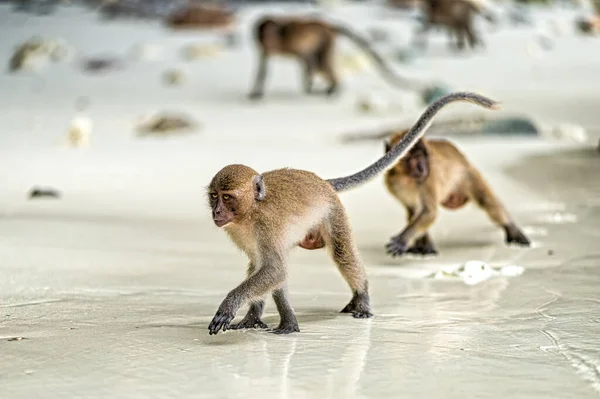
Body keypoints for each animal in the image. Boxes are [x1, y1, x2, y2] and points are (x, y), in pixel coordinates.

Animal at [206, 90, 496, 334]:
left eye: (227, 197)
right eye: (214, 196)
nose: (217, 212)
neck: (250, 212)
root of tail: (323, 183)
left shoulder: (265, 226)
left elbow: (275, 269)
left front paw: (230, 306)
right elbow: (266, 268)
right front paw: (252, 317)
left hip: (333, 212)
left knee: (341, 253)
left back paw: (361, 297)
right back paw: (287, 321)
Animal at [248, 15, 422, 101]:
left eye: (270, 34)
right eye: (261, 35)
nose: (266, 40)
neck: (280, 38)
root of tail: (329, 25)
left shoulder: (292, 41)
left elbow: (307, 59)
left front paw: (310, 87)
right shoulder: (263, 48)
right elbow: (263, 68)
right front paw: (256, 93)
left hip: (327, 39)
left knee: (321, 63)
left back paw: (335, 87)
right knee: (320, 63)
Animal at [382, 130, 532, 258]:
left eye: (422, 157)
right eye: (413, 158)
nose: (422, 168)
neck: (406, 178)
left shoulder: (428, 179)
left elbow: (429, 212)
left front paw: (402, 240)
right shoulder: (393, 184)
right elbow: (414, 210)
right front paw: (425, 246)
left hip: (468, 175)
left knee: (486, 201)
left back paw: (511, 228)